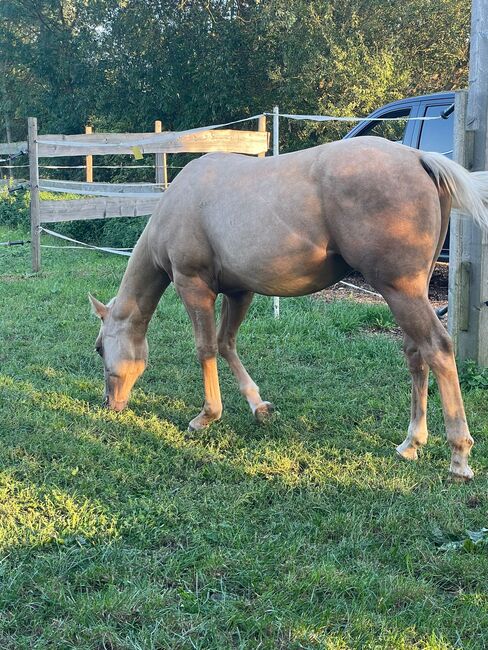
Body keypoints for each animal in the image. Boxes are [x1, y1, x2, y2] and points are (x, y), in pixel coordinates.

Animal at [89, 137, 488, 478]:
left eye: (98, 349)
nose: (110, 404)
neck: (178, 203)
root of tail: (419, 158)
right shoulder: (240, 292)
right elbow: (225, 343)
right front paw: (258, 406)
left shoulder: (193, 286)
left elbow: (205, 348)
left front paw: (206, 416)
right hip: (408, 294)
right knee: (416, 353)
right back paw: (411, 443)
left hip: (400, 291)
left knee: (437, 349)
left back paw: (459, 455)